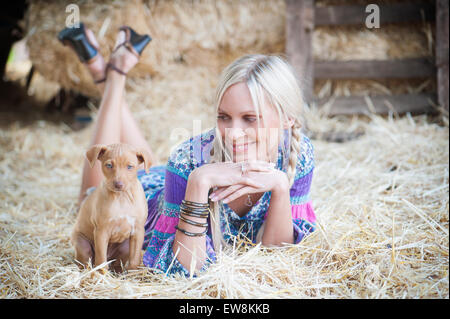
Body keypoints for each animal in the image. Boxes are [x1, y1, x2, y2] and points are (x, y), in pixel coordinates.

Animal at [72, 144, 151, 274]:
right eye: (109, 165)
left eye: (130, 166)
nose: (118, 184)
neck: (122, 197)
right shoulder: (101, 231)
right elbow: (101, 260)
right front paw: (102, 274)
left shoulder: (138, 230)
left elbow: (134, 259)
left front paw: (133, 274)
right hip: (82, 244)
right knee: (86, 261)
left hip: (125, 246)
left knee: (117, 262)